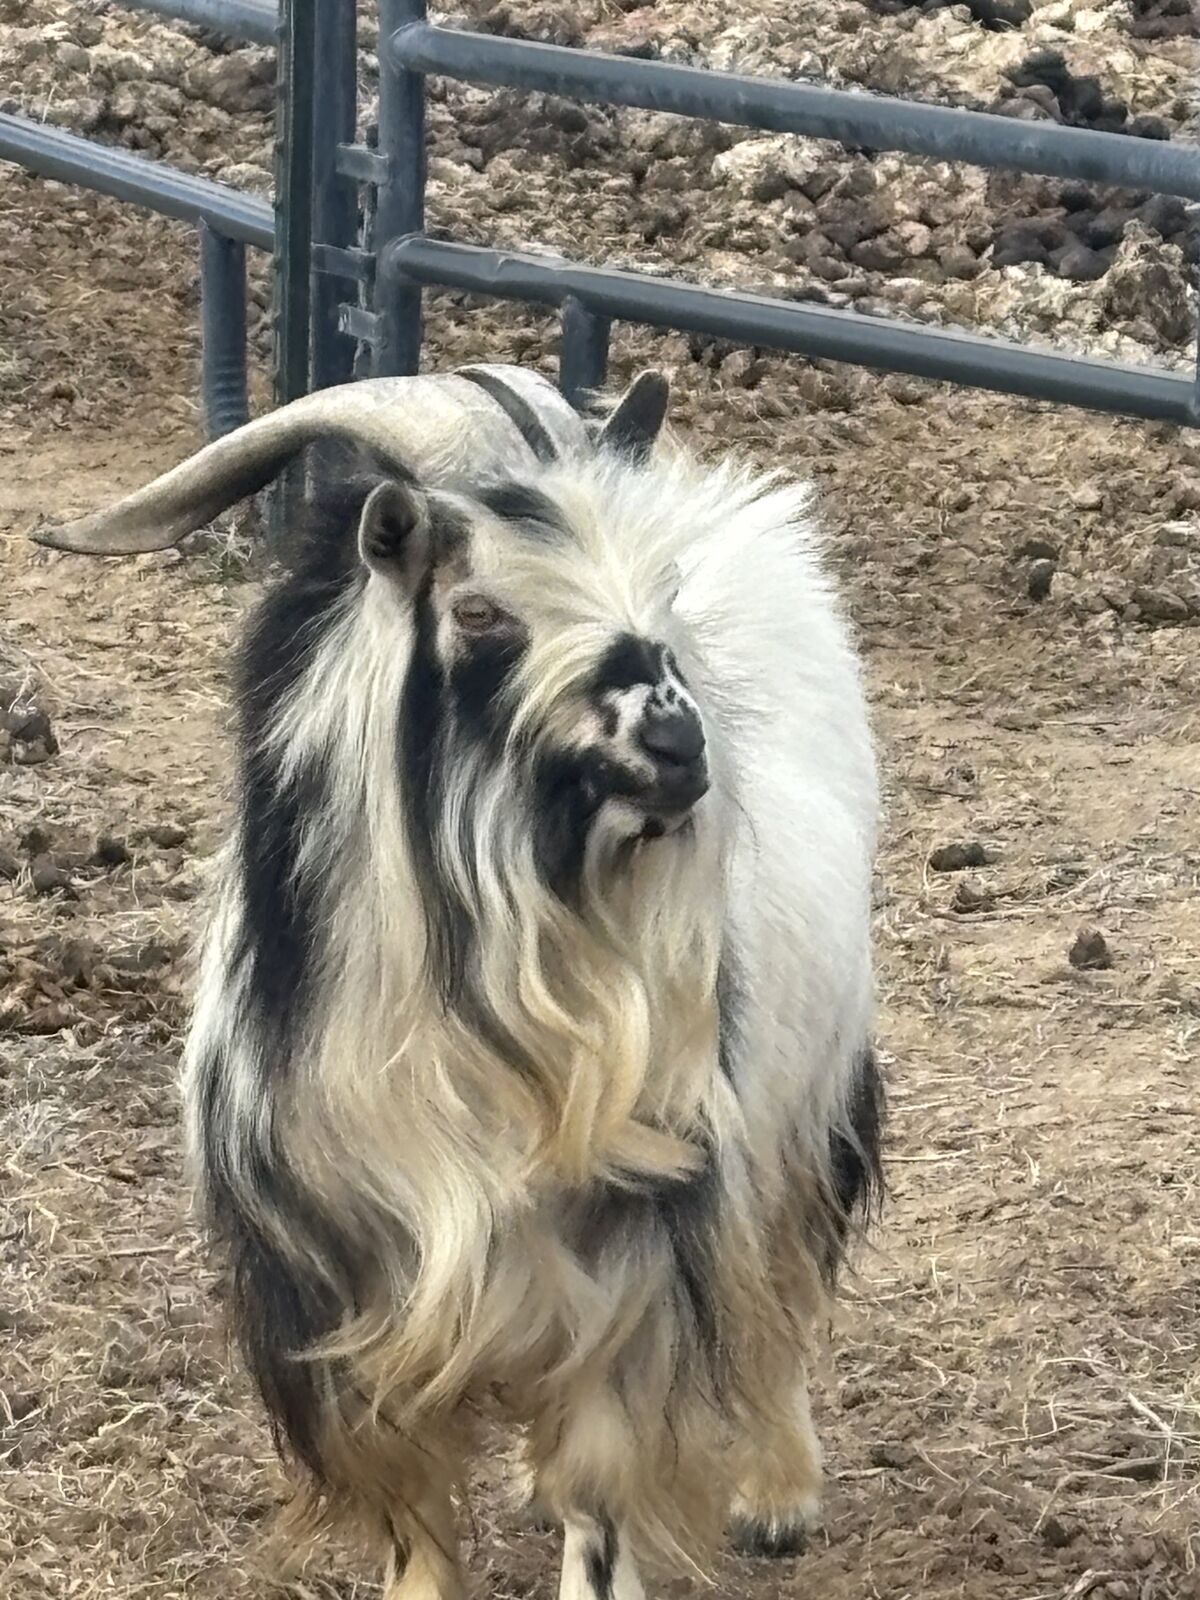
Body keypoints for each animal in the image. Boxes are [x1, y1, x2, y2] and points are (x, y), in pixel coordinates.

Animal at [35, 364, 883, 1600]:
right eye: (482, 609)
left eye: (660, 593)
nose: (680, 747)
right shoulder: (345, 1283)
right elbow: (414, 1511)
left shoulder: (633, 1258)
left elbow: (603, 1488)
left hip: (809, 1099)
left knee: (782, 1279)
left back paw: (779, 1490)